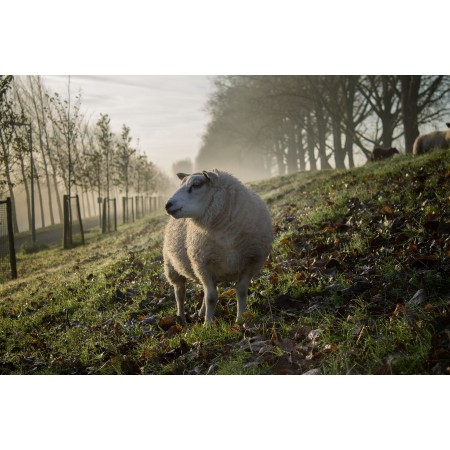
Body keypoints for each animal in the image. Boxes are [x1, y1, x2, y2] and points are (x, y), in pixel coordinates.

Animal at [163, 169, 272, 324]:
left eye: (196, 185)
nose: (168, 205)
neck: (226, 236)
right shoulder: (203, 266)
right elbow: (211, 297)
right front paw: (208, 324)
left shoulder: (251, 261)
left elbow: (241, 291)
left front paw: (240, 319)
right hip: (172, 267)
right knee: (179, 292)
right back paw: (181, 318)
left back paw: (201, 313)